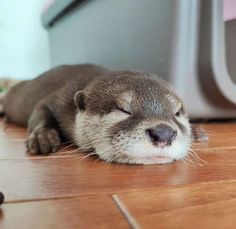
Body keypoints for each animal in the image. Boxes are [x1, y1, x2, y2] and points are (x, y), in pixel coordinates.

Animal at [0, 64, 192, 165]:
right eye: (123, 110)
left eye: (177, 113)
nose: (164, 133)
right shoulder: (59, 97)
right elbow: (40, 109)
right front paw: (42, 136)